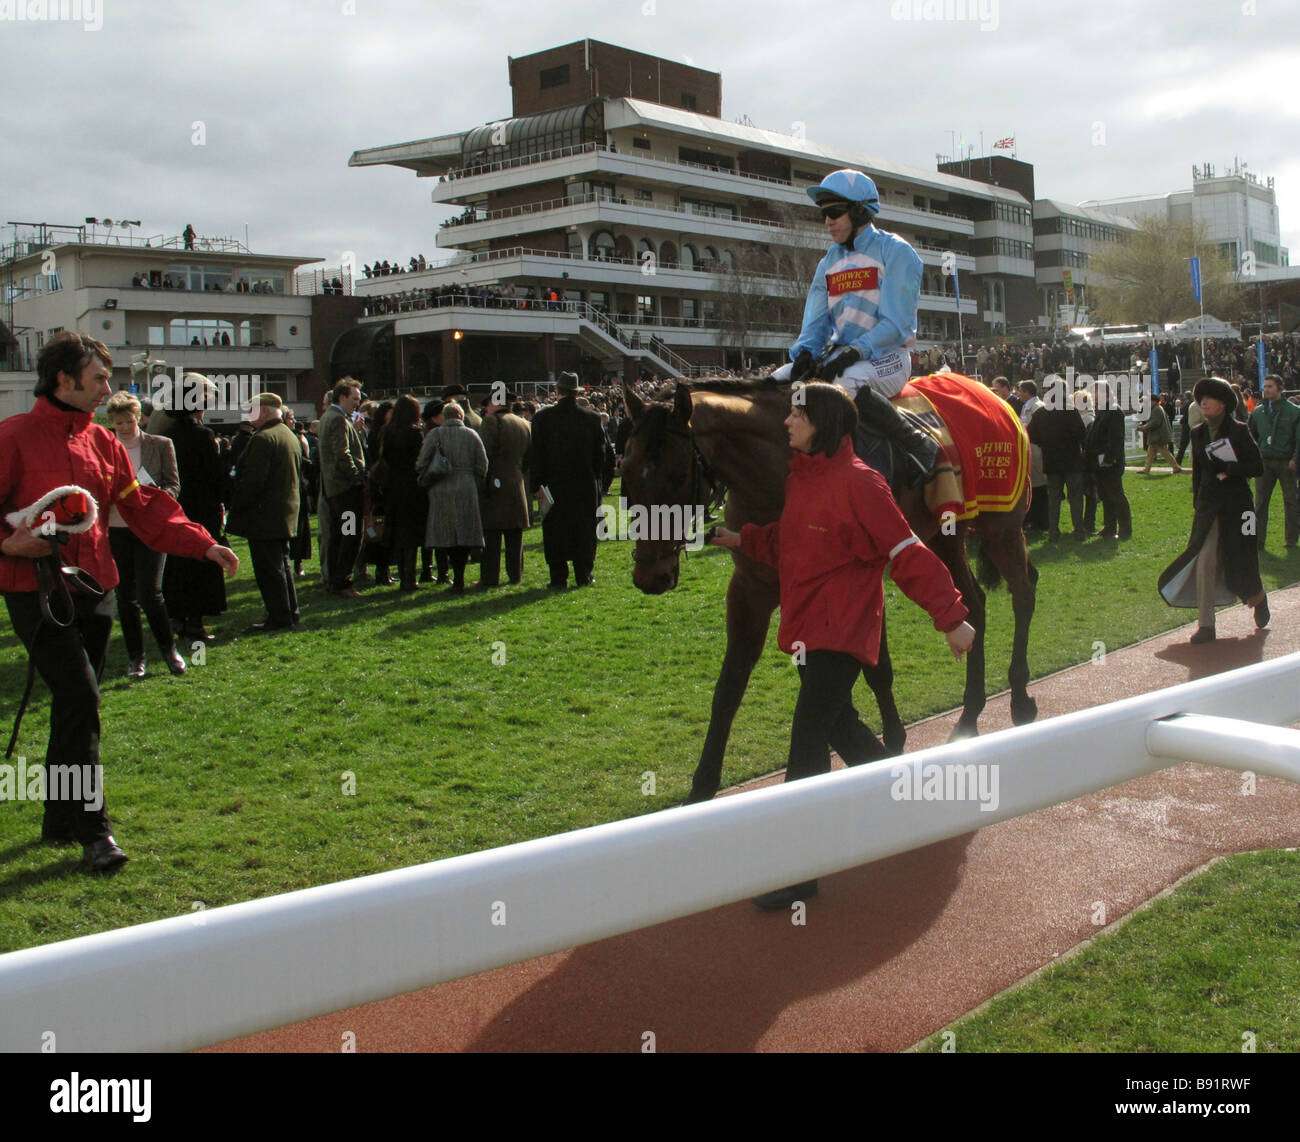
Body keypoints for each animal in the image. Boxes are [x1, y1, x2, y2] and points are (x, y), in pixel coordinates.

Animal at [624, 374, 1040, 806]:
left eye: (676, 476)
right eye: (626, 472)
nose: (650, 575)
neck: (783, 470)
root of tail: (991, 393)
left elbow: (876, 668)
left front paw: (890, 740)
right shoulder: (752, 585)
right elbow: (731, 683)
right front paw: (702, 786)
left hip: (999, 525)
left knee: (1023, 593)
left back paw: (1019, 696)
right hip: (945, 533)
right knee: (973, 605)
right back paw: (970, 715)